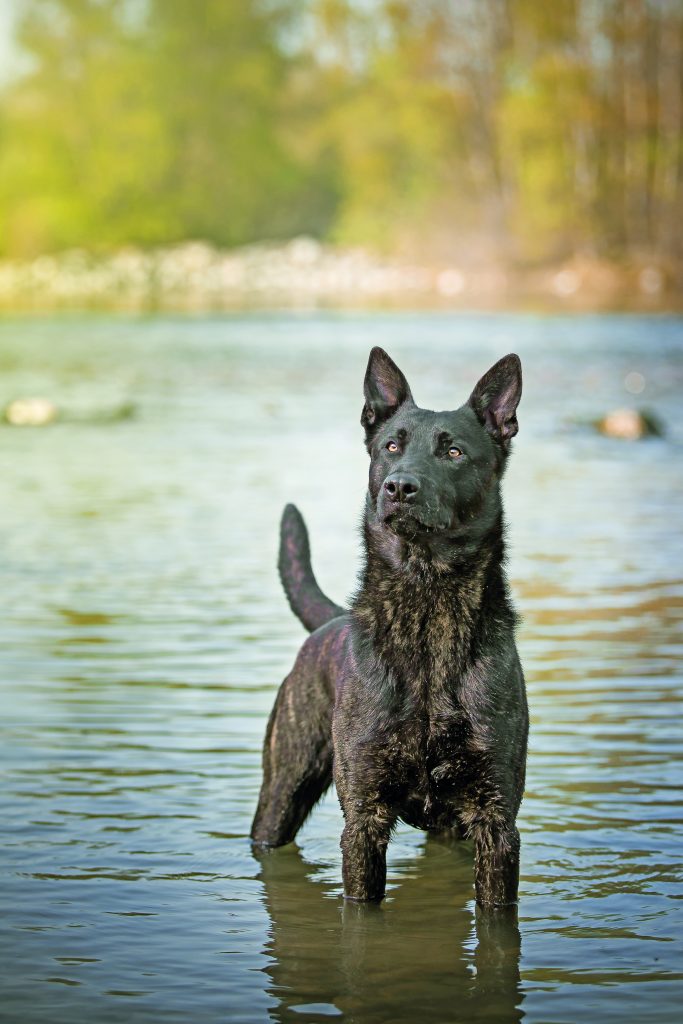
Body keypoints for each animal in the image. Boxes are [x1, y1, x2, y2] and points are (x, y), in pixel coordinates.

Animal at [250, 348, 528, 909]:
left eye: (454, 451)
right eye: (391, 445)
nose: (399, 486)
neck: (426, 612)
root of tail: (330, 620)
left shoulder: (495, 820)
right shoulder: (364, 819)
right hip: (282, 790)